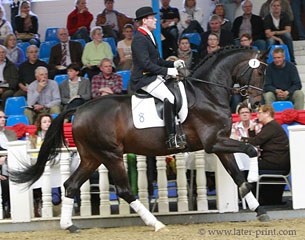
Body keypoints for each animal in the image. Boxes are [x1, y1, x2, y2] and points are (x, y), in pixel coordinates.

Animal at [9, 46, 268, 232]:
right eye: (259, 72)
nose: (255, 104)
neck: (208, 93)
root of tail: (79, 109)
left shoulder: (220, 143)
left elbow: (238, 176)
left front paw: (260, 210)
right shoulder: (213, 142)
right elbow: (250, 151)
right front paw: (256, 175)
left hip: (92, 156)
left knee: (71, 185)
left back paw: (69, 225)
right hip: (111, 154)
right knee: (124, 190)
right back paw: (156, 223)